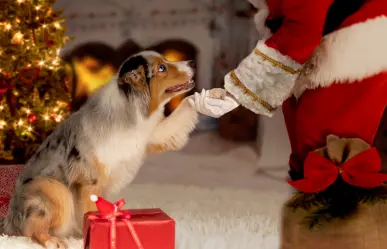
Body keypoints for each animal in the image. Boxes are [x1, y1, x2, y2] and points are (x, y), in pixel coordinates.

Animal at [0, 51, 226, 249]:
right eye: (161, 68)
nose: (192, 63)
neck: (129, 107)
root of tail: (8, 219)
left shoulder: (150, 134)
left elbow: (185, 107)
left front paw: (211, 96)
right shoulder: (89, 180)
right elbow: (89, 210)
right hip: (53, 188)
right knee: (30, 227)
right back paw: (51, 240)